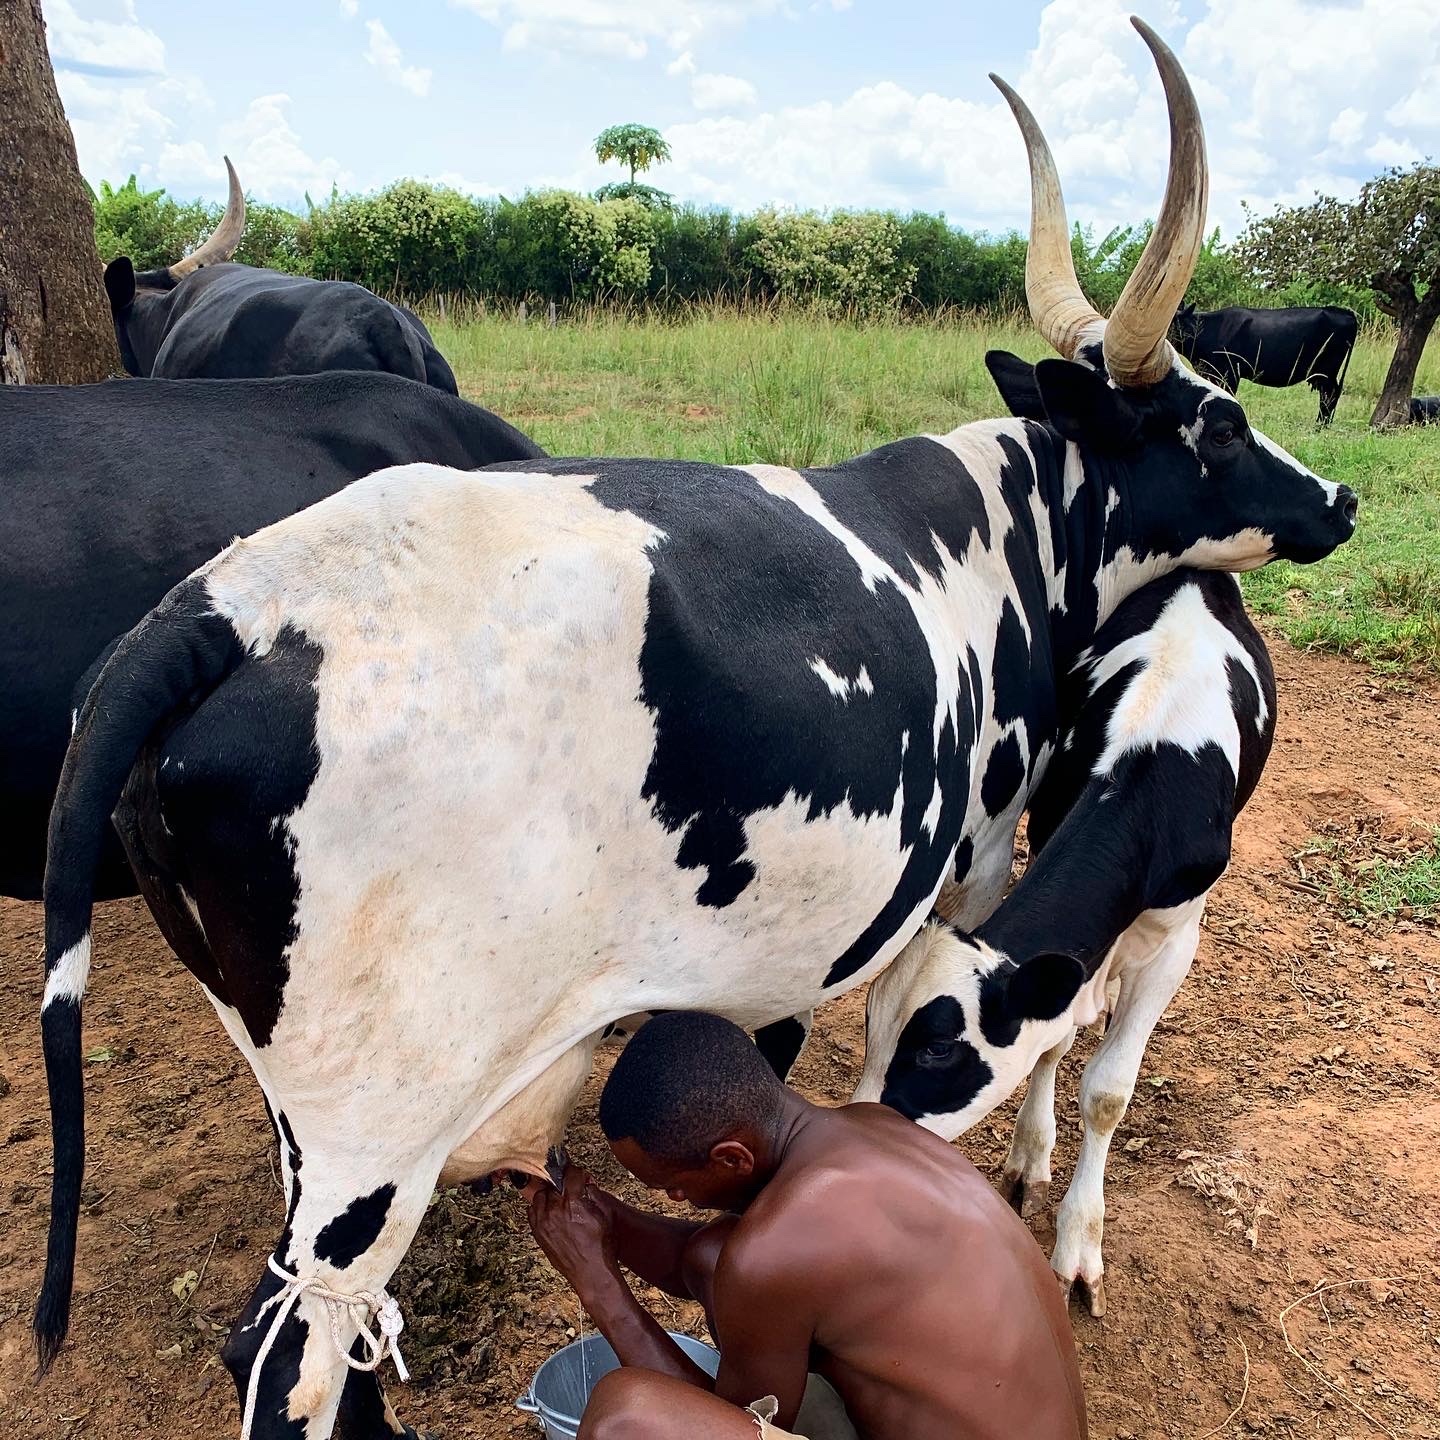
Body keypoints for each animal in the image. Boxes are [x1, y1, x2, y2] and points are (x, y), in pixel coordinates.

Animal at [856, 568, 1274, 1317]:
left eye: (936, 1049)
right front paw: (1029, 1158)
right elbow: (1052, 1039)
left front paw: (1079, 1246)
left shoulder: (1176, 942)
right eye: (870, 1027)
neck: (1145, 767)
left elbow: (1108, 1091)